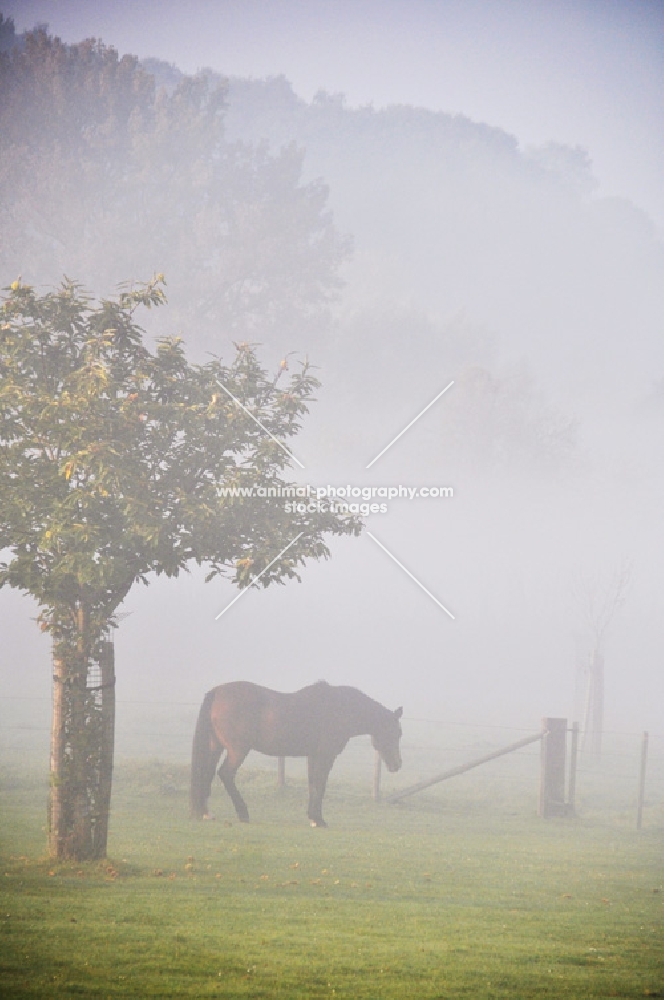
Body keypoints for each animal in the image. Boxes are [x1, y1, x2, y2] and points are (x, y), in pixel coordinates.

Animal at [189, 680, 402, 828]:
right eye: (396, 732)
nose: (397, 764)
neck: (340, 709)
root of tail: (218, 692)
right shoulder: (325, 757)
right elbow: (320, 785)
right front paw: (319, 820)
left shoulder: (313, 757)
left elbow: (313, 785)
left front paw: (313, 818)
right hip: (238, 750)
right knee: (225, 774)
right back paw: (243, 813)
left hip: (215, 747)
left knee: (206, 774)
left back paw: (205, 813)